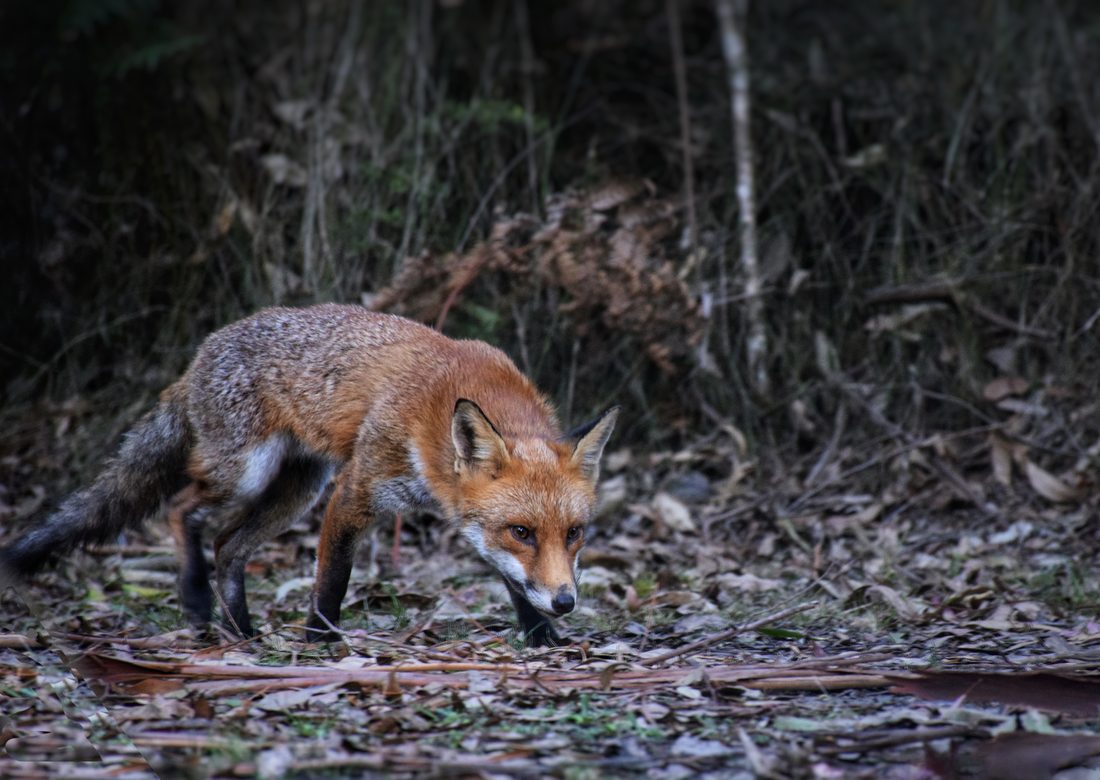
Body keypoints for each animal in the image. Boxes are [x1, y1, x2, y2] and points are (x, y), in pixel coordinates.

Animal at [0, 304, 618, 647]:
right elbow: (332, 580)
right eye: (522, 531)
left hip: (295, 491)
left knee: (227, 544)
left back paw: (242, 631)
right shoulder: (355, 491)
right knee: (182, 509)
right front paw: (319, 642)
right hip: (247, 475)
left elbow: (514, 582)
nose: (566, 602)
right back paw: (197, 597)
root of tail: (195, 360)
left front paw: (541, 636)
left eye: (574, 534)